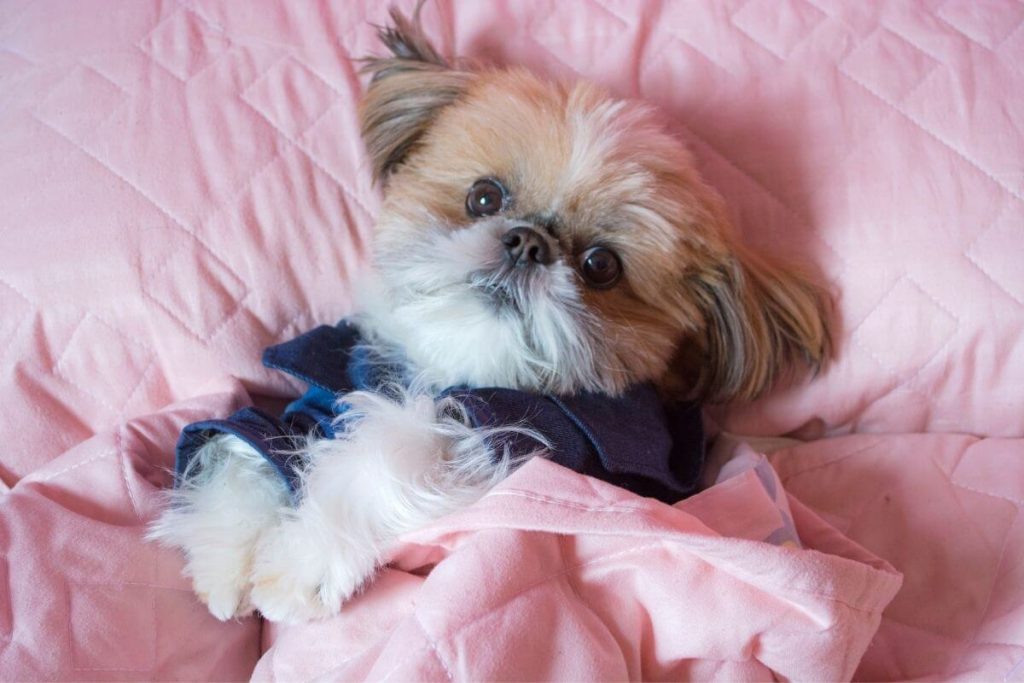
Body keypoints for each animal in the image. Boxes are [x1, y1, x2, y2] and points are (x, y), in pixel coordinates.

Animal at [146, 5, 831, 626]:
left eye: (601, 265)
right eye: (483, 197)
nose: (528, 243)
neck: (454, 365)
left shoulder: (526, 449)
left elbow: (390, 448)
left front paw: (303, 560)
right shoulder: (317, 391)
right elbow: (248, 443)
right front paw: (225, 551)